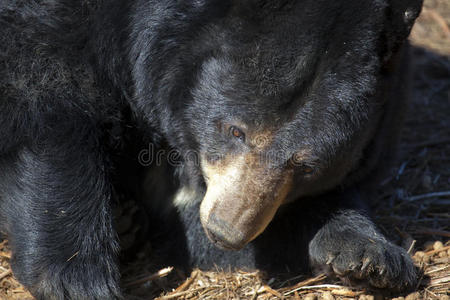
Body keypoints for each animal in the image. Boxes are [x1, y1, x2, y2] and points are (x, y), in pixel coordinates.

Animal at [0, 0, 422, 298]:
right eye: (236, 131)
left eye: (307, 166)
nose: (226, 230)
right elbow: (47, 94)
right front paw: (77, 277)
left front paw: (371, 257)